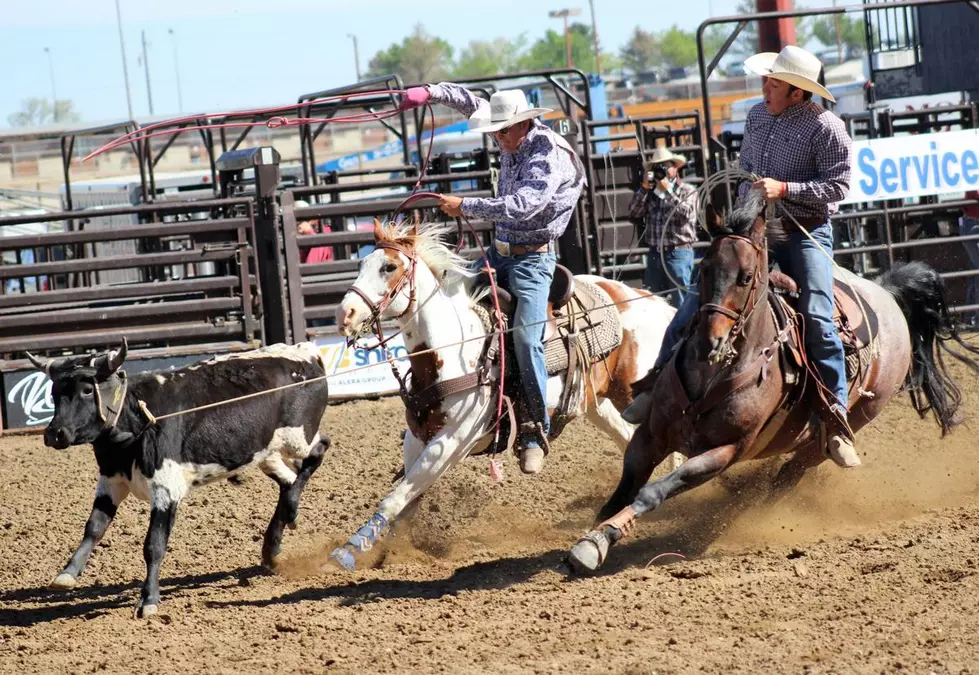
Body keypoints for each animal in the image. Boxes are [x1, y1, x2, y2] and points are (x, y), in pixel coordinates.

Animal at [25, 340, 334, 620]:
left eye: (87, 390)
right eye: (54, 393)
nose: (55, 433)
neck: (137, 422)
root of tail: (307, 352)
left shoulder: (166, 488)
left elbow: (154, 545)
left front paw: (148, 600)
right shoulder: (110, 482)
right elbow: (94, 528)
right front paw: (67, 573)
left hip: (298, 437)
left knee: (318, 450)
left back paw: (290, 514)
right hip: (266, 452)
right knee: (290, 479)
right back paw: (273, 544)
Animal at [330, 220, 680, 572]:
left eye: (389, 267)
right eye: (361, 264)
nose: (345, 314)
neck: (452, 348)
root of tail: (649, 299)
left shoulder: (451, 442)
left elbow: (396, 498)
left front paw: (347, 552)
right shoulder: (417, 438)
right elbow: (408, 499)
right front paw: (376, 550)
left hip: (637, 393)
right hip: (599, 403)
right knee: (631, 443)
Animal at [568, 191, 979, 576]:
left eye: (746, 277)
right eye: (703, 270)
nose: (709, 342)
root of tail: (886, 293)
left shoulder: (725, 451)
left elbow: (651, 492)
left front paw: (595, 545)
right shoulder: (650, 435)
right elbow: (622, 492)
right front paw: (594, 537)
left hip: (837, 432)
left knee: (785, 480)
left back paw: (731, 520)